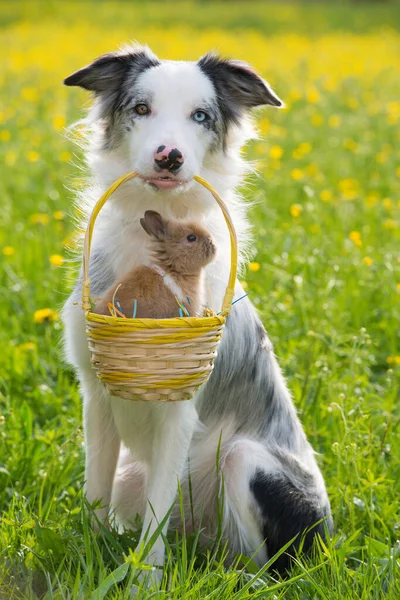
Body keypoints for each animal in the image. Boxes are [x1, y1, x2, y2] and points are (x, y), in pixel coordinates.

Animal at [61, 44, 332, 580]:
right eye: (141, 108)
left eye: (200, 116)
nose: (170, 156)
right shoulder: (96, 395)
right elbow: (94, 493)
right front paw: (90, 555)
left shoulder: (179, 411)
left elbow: (155, 517)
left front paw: (145, 581)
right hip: (133, 474)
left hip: (246, 461)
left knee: (263, 567)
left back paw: (233, 577)